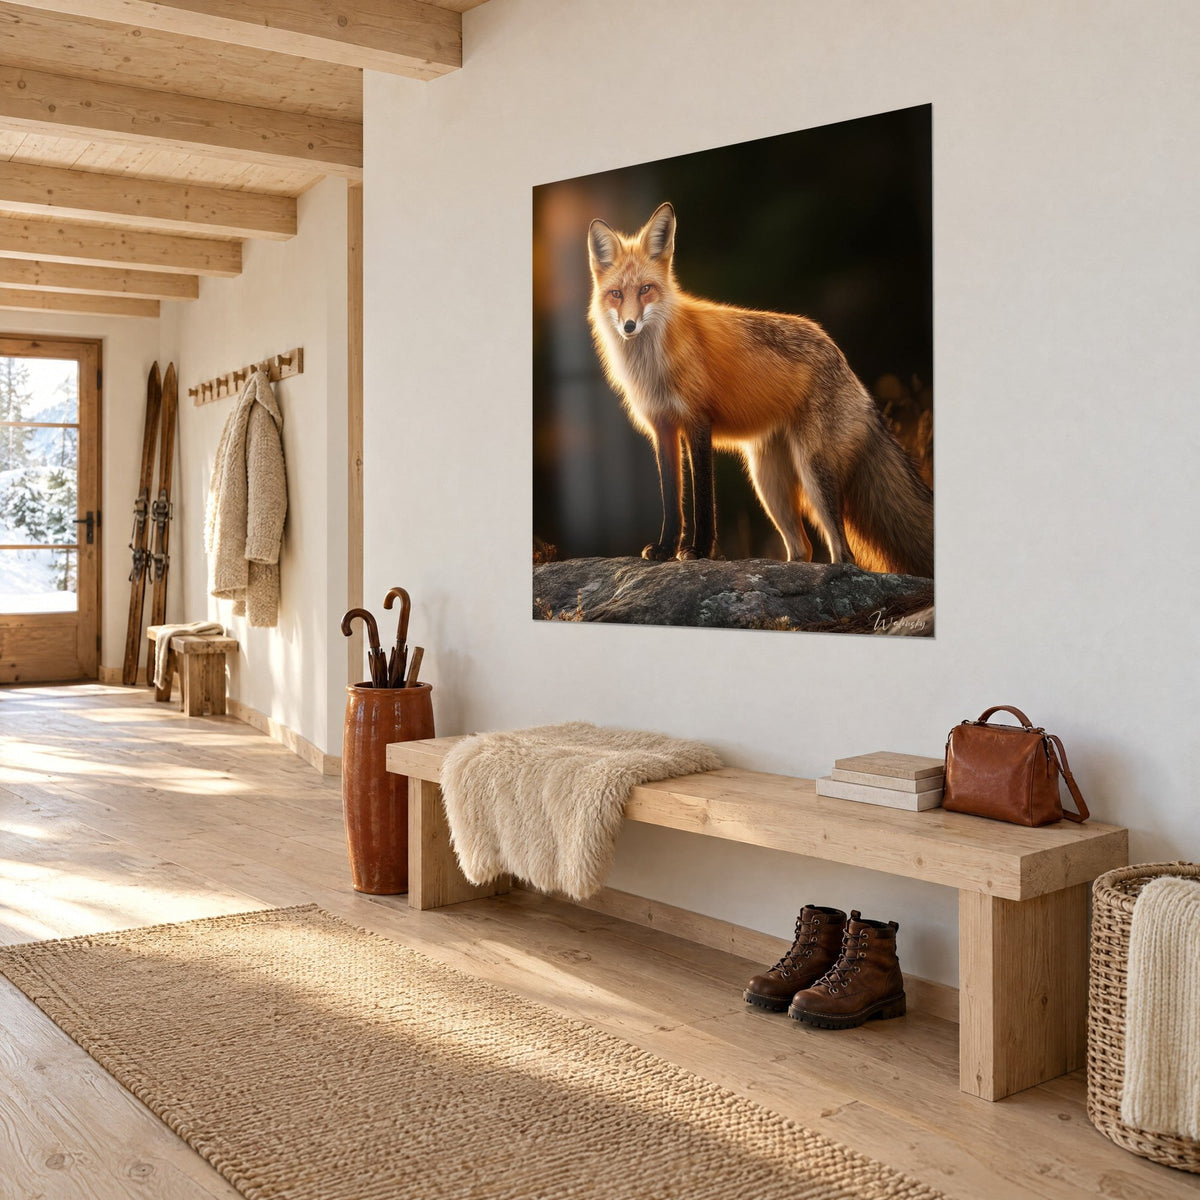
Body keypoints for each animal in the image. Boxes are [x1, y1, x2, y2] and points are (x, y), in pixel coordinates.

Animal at [586, 202, 934, 577]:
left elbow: (703, 500)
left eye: (646, 289)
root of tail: (846, 365)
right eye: (617, 294)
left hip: (813, 473)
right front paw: (665, 549)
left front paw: (700, 551)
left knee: (844, 552)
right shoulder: (662, 427)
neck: (653, 362)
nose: (629, 326)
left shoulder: (697, 421)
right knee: (803, 548)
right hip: (768, 484)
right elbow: (671, 501)